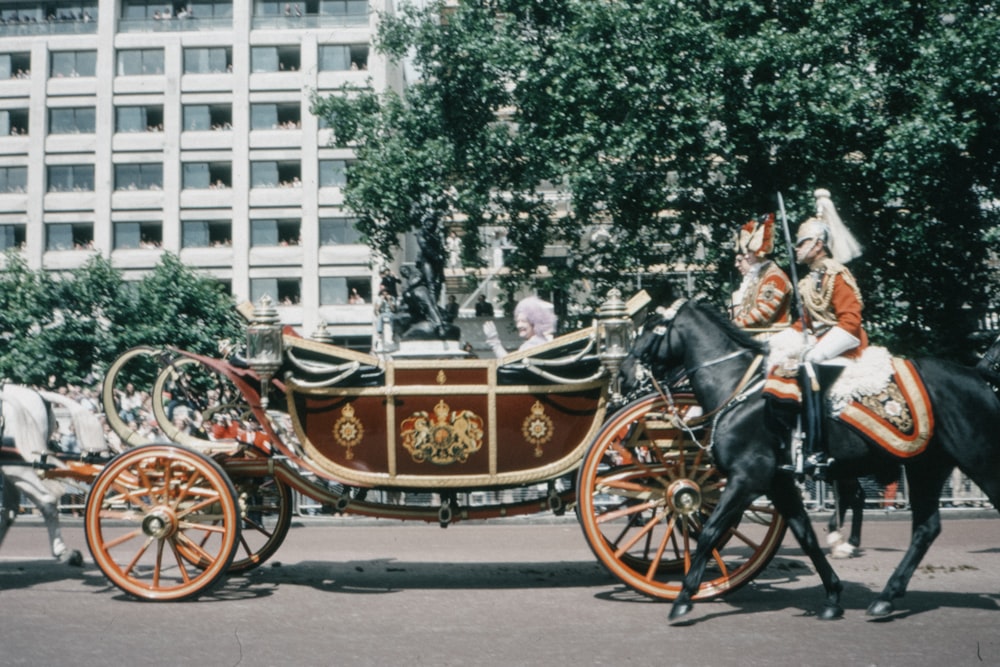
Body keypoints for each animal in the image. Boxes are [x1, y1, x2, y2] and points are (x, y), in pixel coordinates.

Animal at [624, 298, 1000, 620]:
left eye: (653, 324)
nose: (627, 370)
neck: (737, 390)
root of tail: (977, 374)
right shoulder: (776, 481)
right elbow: (805, 535)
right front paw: (832, 595)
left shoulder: (747, 477)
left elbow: (711, 531)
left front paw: (684, 597)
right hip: (926, 467)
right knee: (925, 528)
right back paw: (885, 597)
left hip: (980, 461)